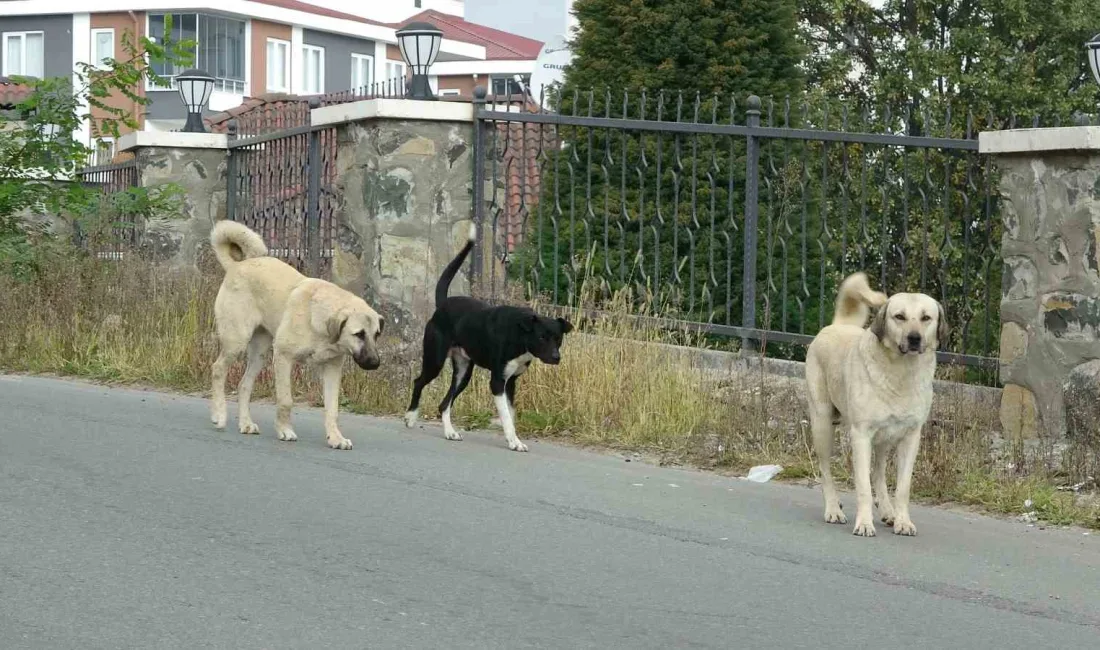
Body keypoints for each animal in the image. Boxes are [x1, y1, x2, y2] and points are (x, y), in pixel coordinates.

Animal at [207, 221, 385, 450]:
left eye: (376, 334)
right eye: (359, 334)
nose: (375, 363)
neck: (319, 322)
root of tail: (236, 266)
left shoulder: (332, 369)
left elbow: (332, 408)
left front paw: (335, 437)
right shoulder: (284, 357)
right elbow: (286, 401)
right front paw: (285, 430)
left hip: (259, 354)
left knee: (244, 385)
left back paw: (245, 423)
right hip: (236, 342)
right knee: (218, 369)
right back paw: (219, 415)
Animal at [407, 224, 576, 453]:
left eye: (558, 339)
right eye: (542, 337)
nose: (556, 357)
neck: (519, 335)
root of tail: (442, 305)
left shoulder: (511, 382)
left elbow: (510, 414)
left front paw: (511, 437)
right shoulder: (497, 383)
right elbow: (505, 415)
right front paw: (514, 441)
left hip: (463, 373)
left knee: (444, 403)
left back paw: (450, 432)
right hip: (435, 360)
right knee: (419, 382)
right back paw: (411, 417)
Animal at [805, 271, 950, 536]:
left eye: (926, 317)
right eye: (899, 316)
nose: (914, 338)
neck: (901, 372)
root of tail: (839, 324)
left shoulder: (910, 438)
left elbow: (902, 487)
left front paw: (903, 521)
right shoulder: (861, 435)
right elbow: (862, 486)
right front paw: (864, 523)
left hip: (884, 440)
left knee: (879, 473)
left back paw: (888, 511)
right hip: (822, 424)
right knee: (825, 469)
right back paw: (833, 509)